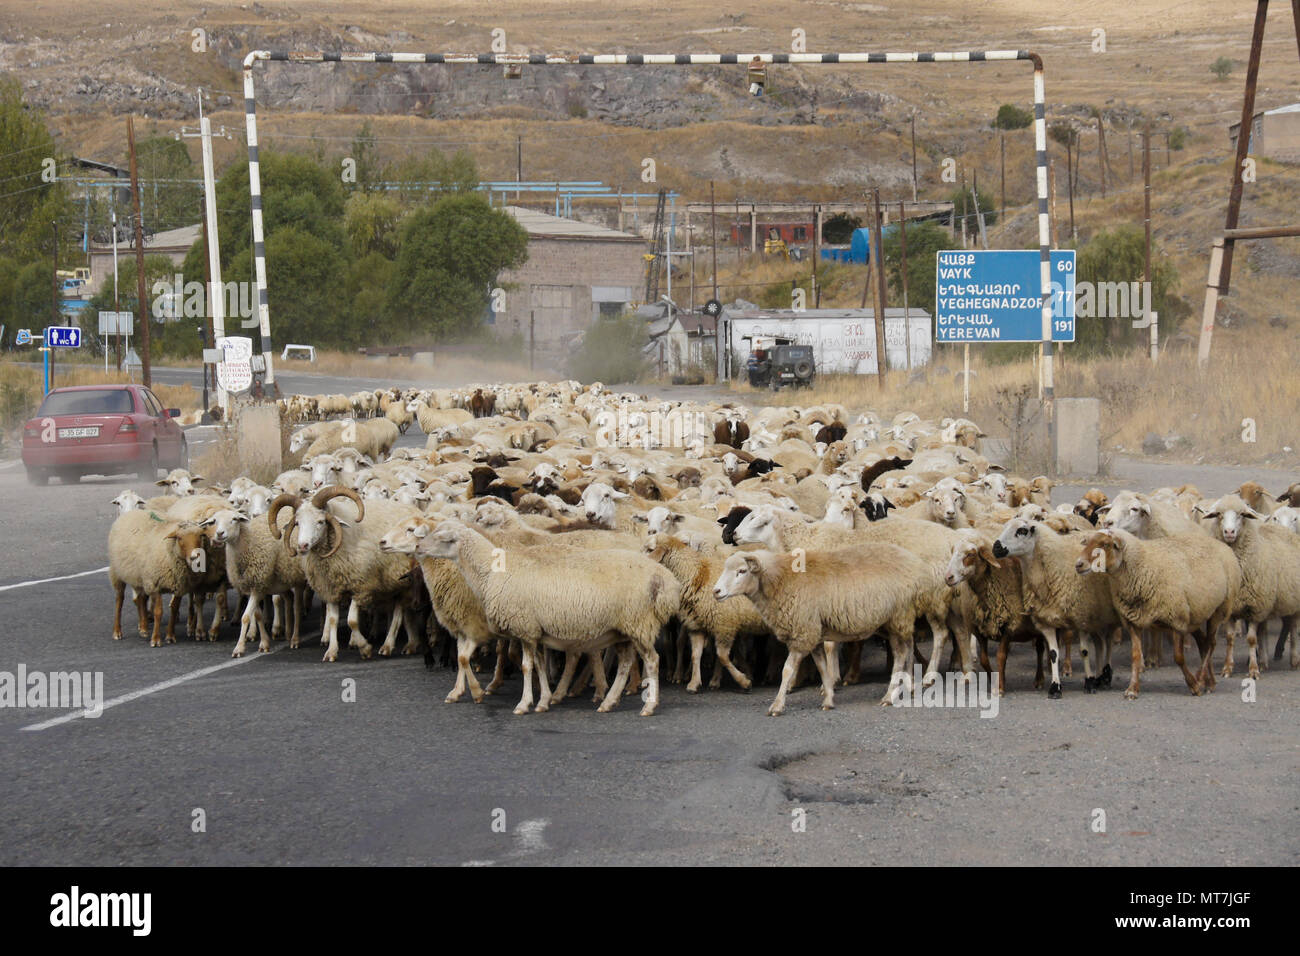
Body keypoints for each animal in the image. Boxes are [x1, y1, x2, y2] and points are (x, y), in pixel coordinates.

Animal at [416, 520, 681, 712]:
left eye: (441, 538)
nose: (418, 548)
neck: (491, 572)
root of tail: (666, 581)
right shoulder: (535, 631)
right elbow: (539, 666)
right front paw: (543, 701)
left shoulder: (524, 628)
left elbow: (526, 667)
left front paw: (523, 704)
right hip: (623, 630)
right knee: (625, 664)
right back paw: (608, 702)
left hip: (639, 624)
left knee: (652, 661)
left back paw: (648, 706)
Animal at [712, 541, 935, 712]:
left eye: (742, 571)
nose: (716, 591)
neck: (781, 580)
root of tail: (917, 565)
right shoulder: (814, 633)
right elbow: (822, 667)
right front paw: (828, 700)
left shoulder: (803, 632)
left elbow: (787, 670)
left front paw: (777, 705)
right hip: (891, 621)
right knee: (908, 647)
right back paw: (908, 686)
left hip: (899, 615)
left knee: (900, 654)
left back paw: (889, 695)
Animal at [1071, 528, 1242, 697]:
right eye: (1087, 542)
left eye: (1105, 544)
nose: (1079, 564)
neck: (1143, 565)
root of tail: (1221, 545)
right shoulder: (1133, 621)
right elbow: (1135, 656)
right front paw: (1132, 689)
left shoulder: (1177, 619)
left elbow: (1178, 657)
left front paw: (1193, 685)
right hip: (1195, 615)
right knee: (1203, 642)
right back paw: (1209, 682)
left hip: (1219, 609)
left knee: (1211, 643)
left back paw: (1200, 679)